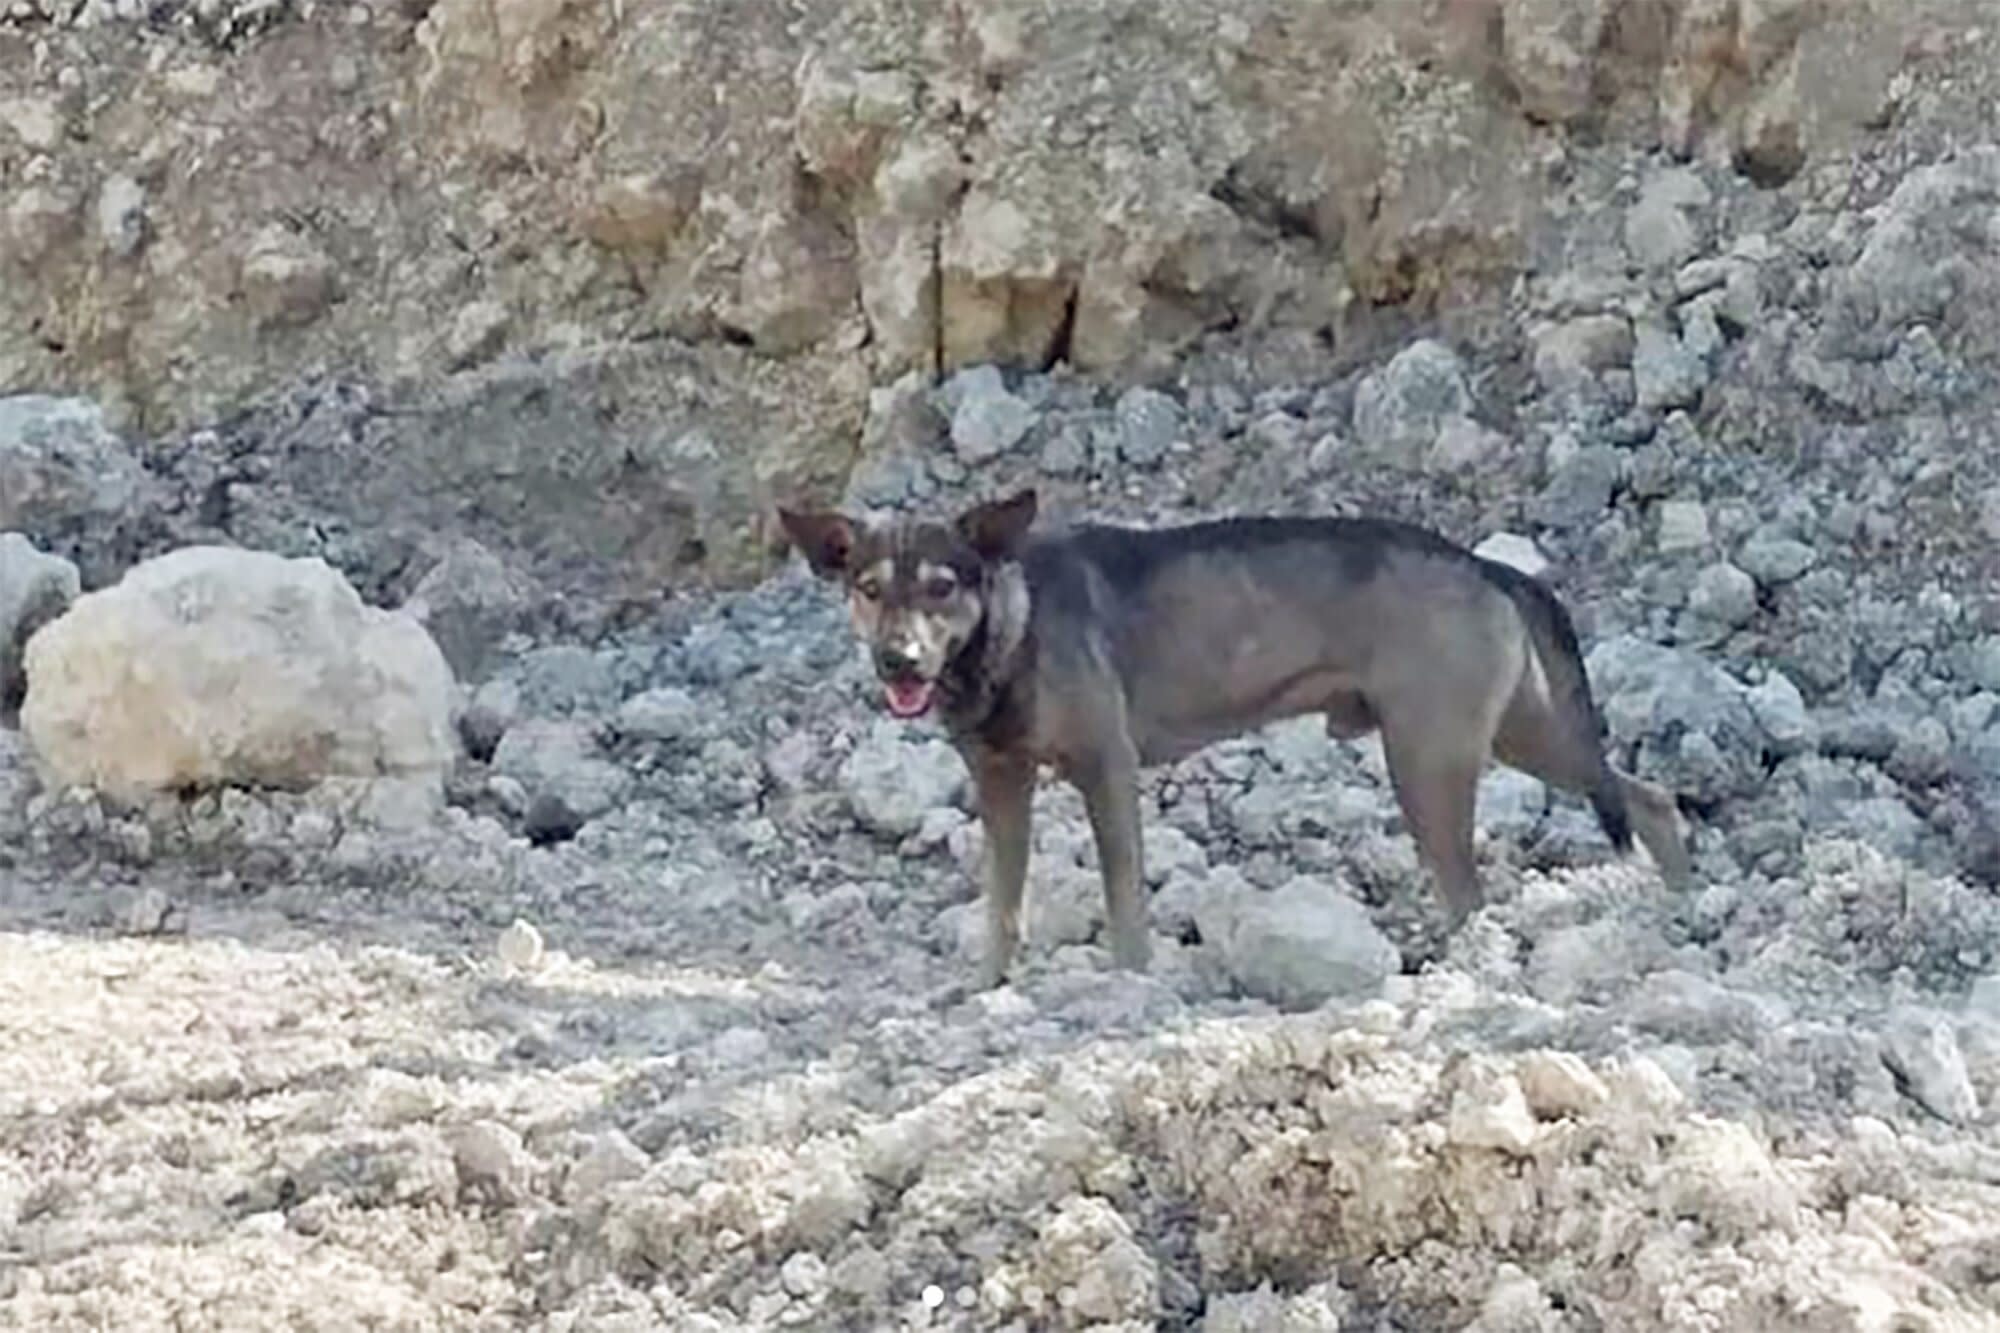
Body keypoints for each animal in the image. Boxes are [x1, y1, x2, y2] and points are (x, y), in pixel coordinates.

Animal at [780, 488, 1688, 984]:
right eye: (868, 588)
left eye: (942, 587)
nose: (898, 659)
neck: (1011, 625)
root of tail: (1487, 564)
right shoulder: (1000, 782)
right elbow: (1002, 905)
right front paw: (987, 985)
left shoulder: (1106, 768)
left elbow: (1124, 902)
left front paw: (1130, 984)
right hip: (1520, 733)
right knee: (1649, 795)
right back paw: (1674, 898)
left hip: (1431, 762)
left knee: (1474, 892)